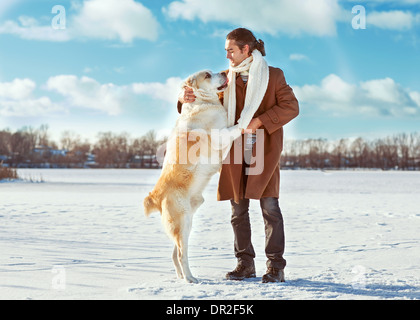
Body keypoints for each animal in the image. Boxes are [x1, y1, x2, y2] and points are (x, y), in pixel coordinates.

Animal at [144, 70, 230, 282]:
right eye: (207, 75)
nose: (224, 72)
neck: (202, 102)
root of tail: (155, 196)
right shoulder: (222, 134)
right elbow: (237, 127)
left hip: (186, 224)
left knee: (175, 254)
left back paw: (182, 277)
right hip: (182, 223)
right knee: (182, 254)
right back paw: (191, 278)